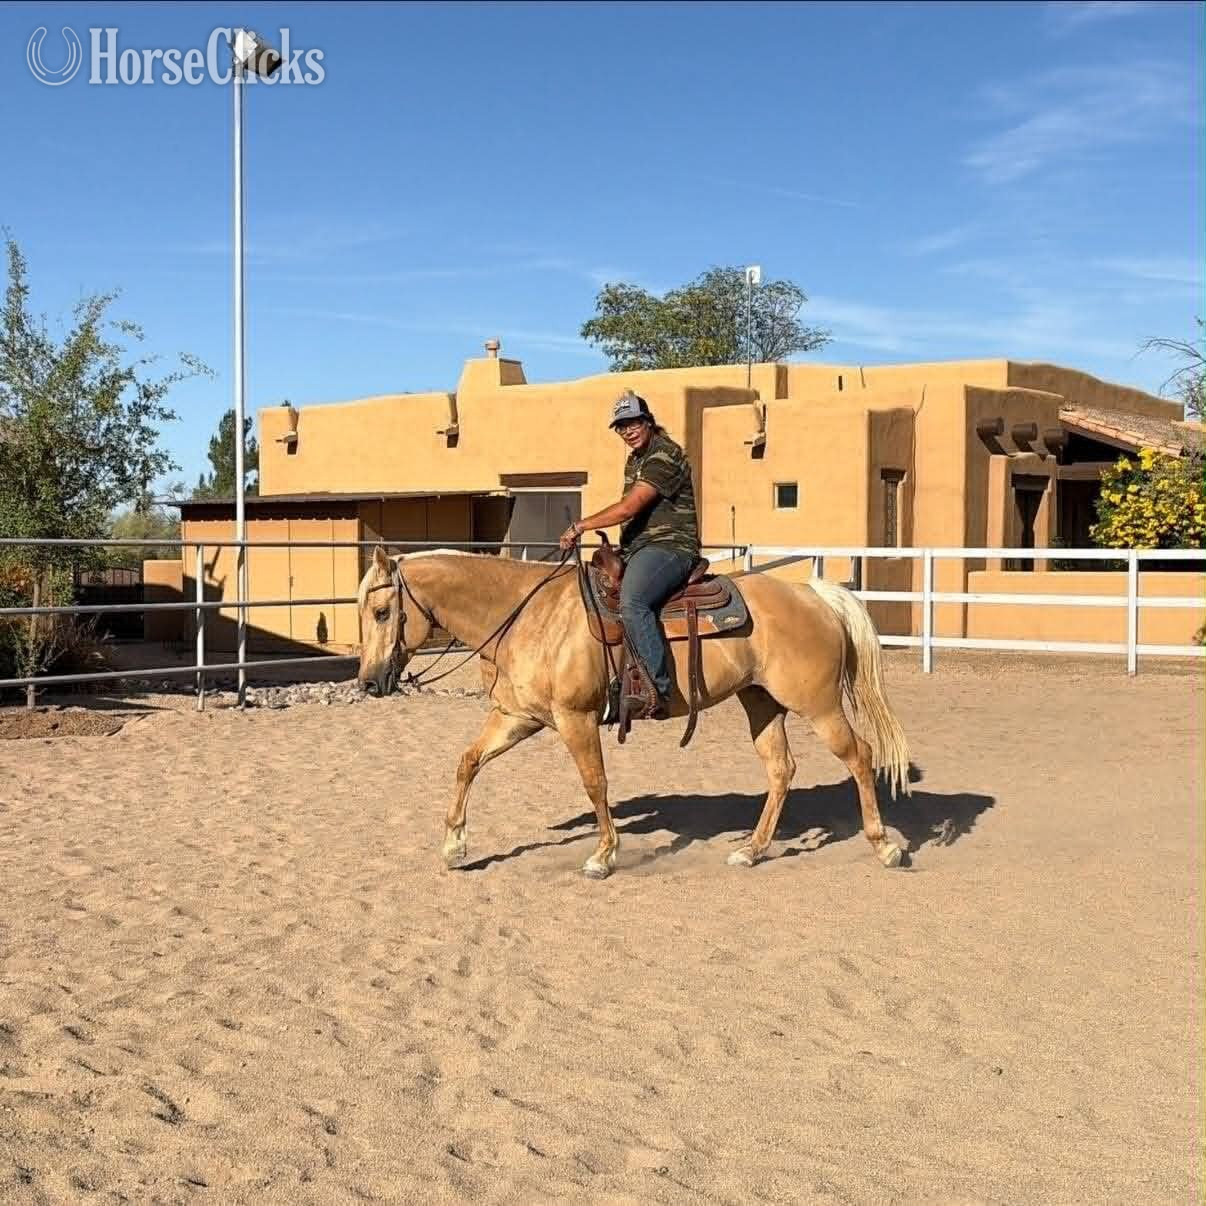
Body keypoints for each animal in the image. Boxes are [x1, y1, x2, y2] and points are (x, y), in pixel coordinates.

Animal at [356, 546, 911, 879]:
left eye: (382, 612)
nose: (367, 681)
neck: (527, 615)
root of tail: (812, 594)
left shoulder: (576, 719)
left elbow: (595, 783)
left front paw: (604, 855)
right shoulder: (518, 717)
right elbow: (468, 762)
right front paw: (455, 847)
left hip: (819, 705)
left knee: (860, 757)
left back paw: (885, 846)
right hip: (761, 702)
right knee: (781, 769)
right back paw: (750, 850)